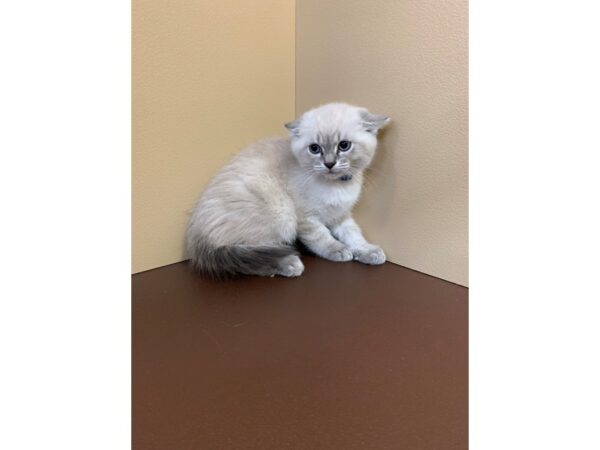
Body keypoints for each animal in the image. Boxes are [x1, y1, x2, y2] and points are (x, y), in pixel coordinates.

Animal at [186, 102, 390, 278]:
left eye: (344, 145)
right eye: (315, 148)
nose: (329, 164)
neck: (335, 185)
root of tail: (197, 239)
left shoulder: (340, 215)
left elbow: (354, 235)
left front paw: (368, 251)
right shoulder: (306, 218)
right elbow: (323, 238)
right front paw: (339, 250)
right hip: (281, 215)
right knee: (249, 257)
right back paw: (290, 264)